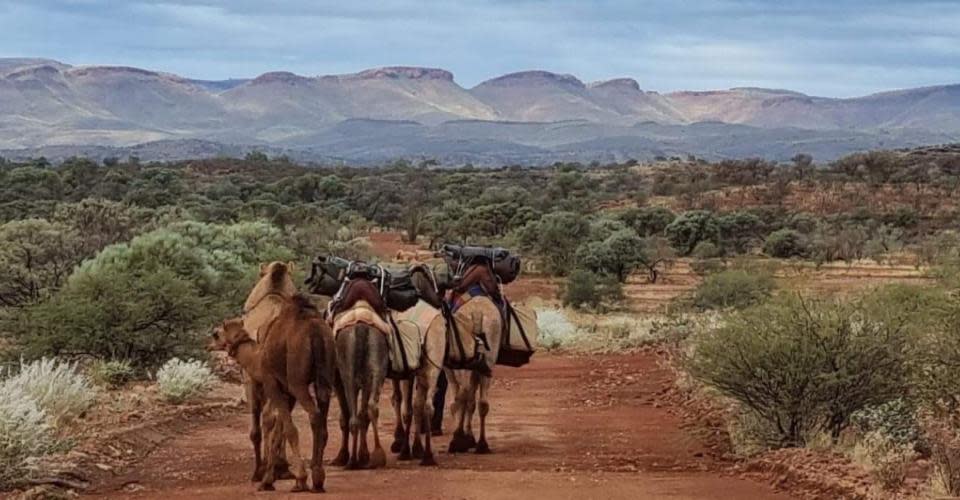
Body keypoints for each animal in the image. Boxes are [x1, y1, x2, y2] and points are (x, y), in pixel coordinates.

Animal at [209, 292, 334, 492]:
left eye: (216, 334)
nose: (207, 346)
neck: (256, 358)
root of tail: (315, 332)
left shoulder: (272, 383)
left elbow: (288, 428)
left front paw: (287, 479)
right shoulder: (287, 393)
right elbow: (278, 429)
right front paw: (274, 475)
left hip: (297, 382)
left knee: (314, 415)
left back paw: (314, 478)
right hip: (325, 376)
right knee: (322, 415)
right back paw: (318, 476)